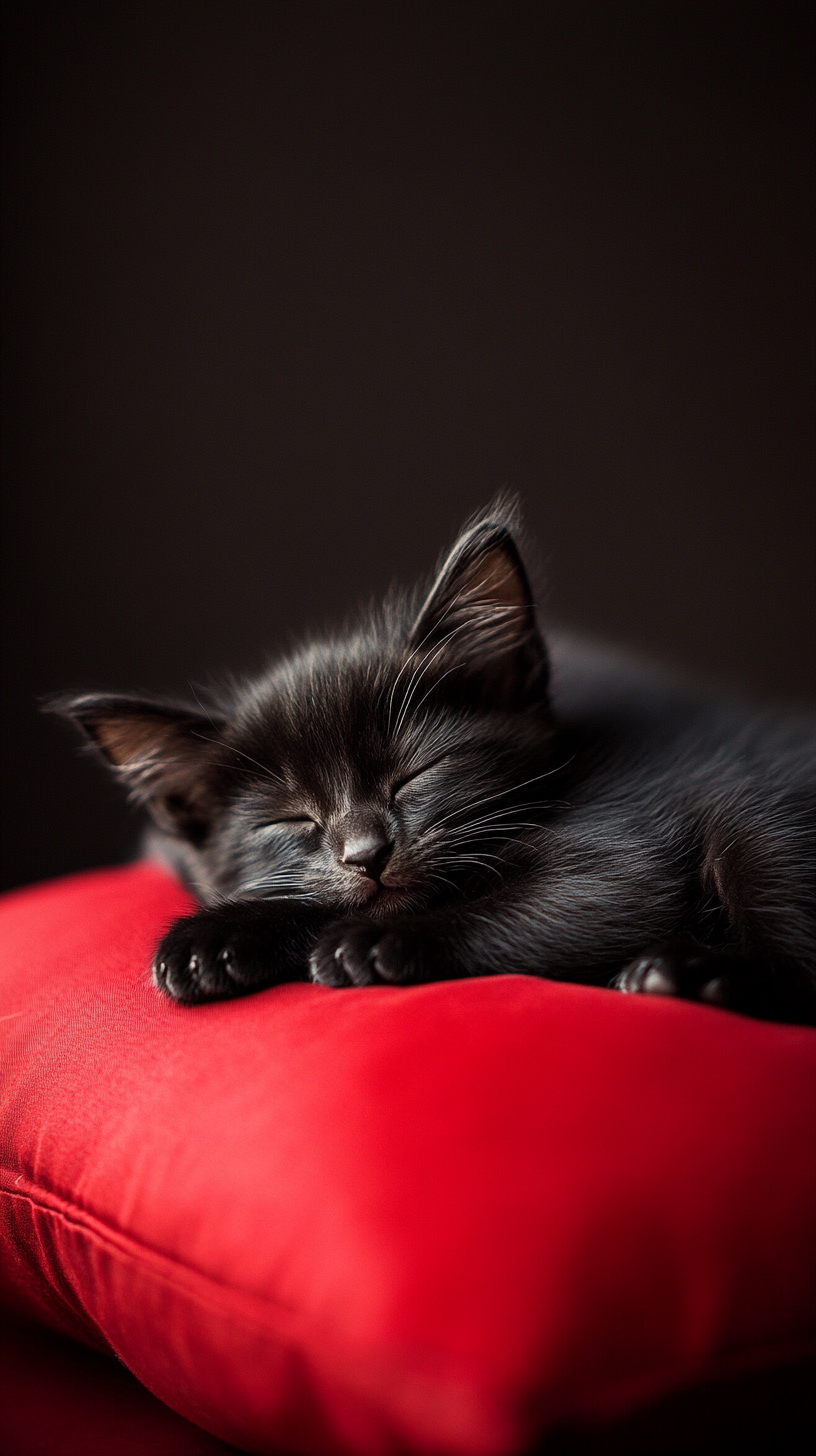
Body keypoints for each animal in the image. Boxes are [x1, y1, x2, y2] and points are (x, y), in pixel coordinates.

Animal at [52, 500, 816, 1025]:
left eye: (415, 775)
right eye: (290, 821)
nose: (367, 853)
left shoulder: (621, 839)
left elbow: (575, 898)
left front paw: (373, 941)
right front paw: (215, 941)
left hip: (756, 816)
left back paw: (679, 974)